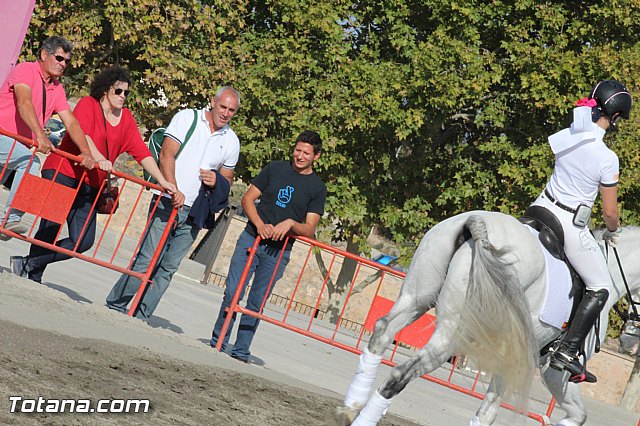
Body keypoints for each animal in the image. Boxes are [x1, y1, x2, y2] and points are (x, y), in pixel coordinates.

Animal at [338, 211, 636, 426]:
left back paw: (351, 408)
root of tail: (477, 224)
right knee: (404, 372)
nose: (628, 343)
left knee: (382, 331)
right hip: (454, 332)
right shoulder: (551, 370)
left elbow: (487, 412)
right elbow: (576, 414)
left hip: (415, 298)